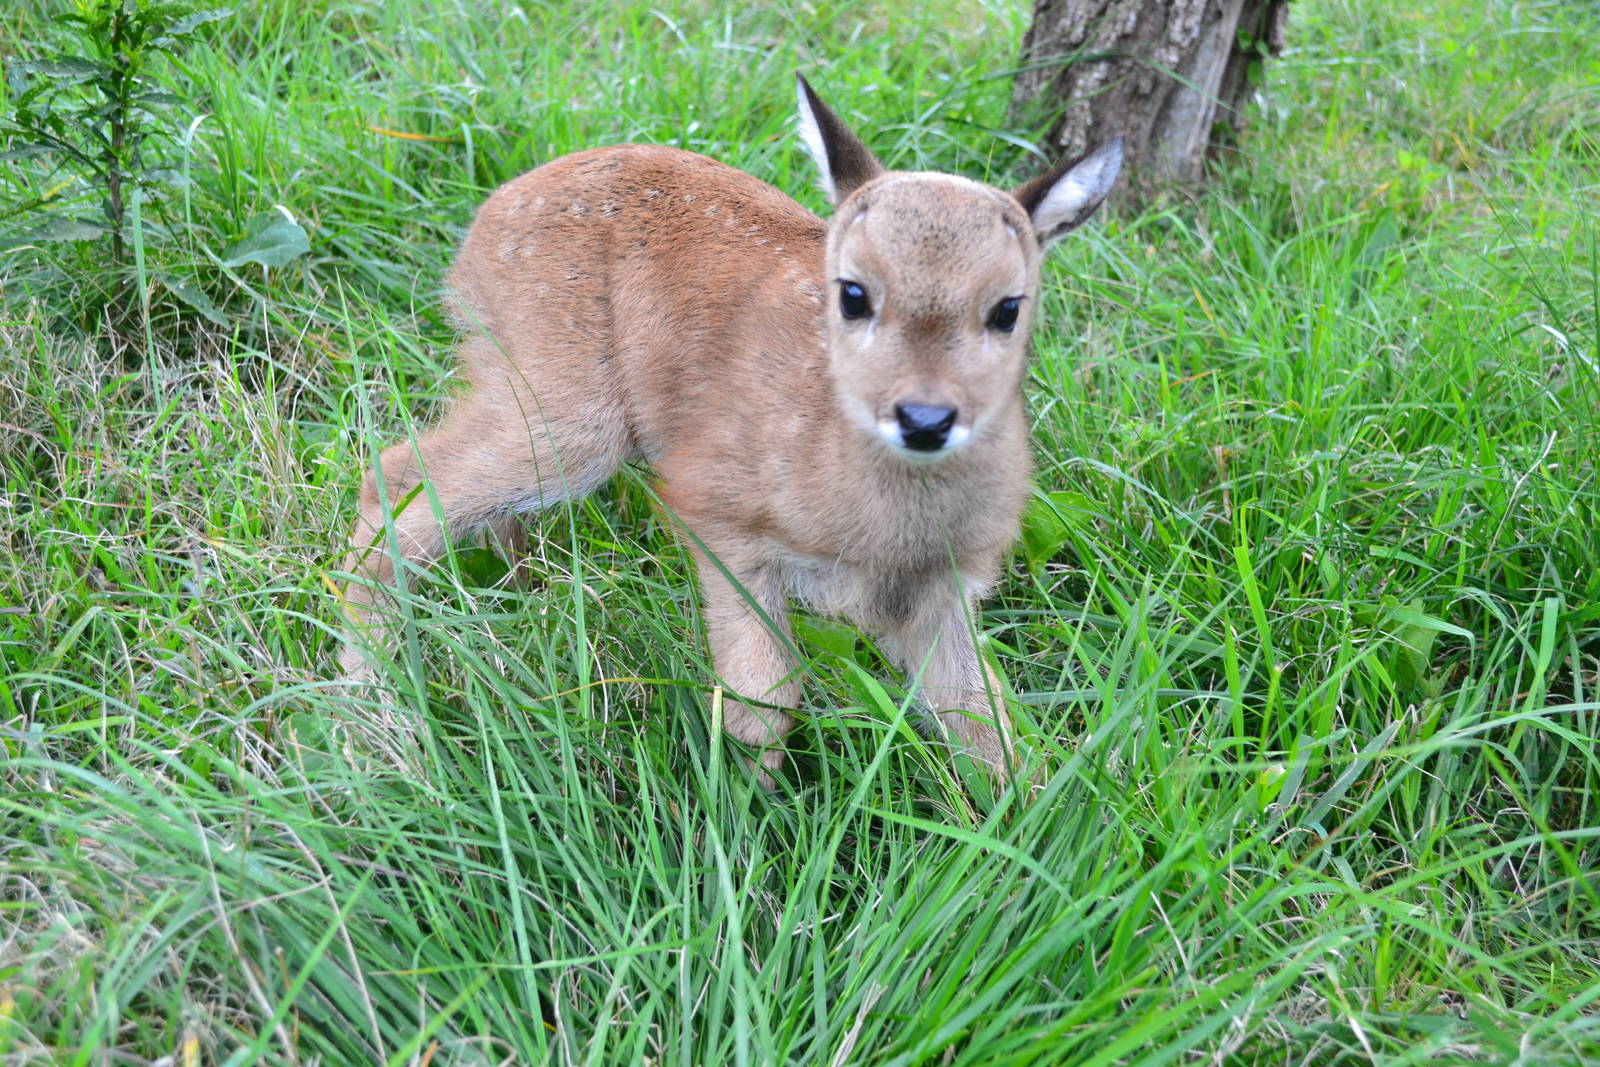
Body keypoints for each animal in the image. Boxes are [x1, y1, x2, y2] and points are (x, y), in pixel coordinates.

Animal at [339, 74, 1122, 786]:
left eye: (1009, 307)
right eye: (853, 293)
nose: (924, 418)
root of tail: (481, 228)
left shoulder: (945, 595)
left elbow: (991, 731)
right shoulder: (715, 512)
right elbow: (763, 700)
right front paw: (747, 826)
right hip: (566, 412)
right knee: (395, 474)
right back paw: (374, 719)